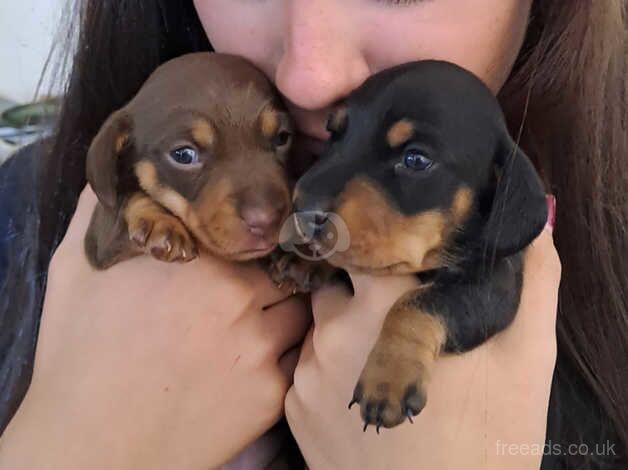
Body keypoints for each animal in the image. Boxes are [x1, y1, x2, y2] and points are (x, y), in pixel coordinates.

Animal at [83, 52, 294, 268]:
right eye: (183, 155)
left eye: (282, 138)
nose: (267, 221)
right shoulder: (102, 242)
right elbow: (128, 198)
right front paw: (160, 222)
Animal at [292, 60, 548, 432]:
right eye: (333, 133)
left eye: (416, 160)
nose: (300, 208)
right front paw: (304, 261)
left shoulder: (491, 286)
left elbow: (415, 303)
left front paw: (389, 377)